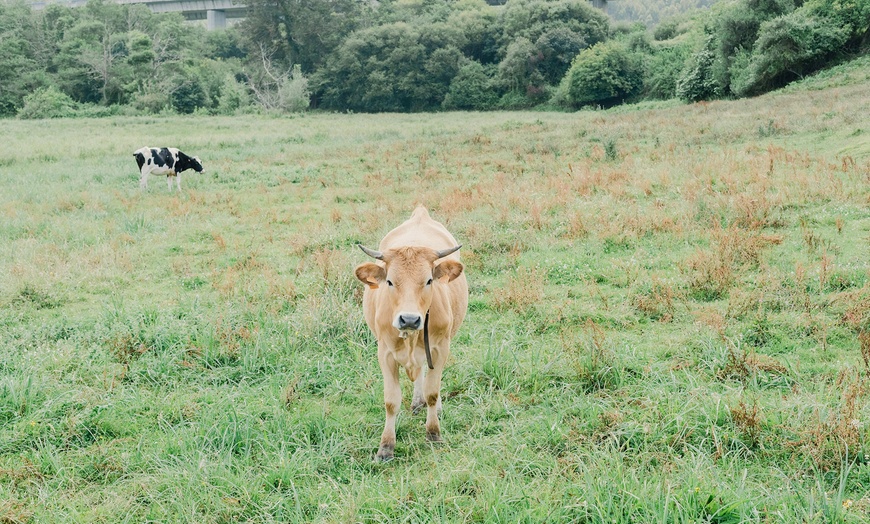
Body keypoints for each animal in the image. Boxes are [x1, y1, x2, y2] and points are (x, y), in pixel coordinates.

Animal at [354, 207, 470, 460]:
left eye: (429, 280)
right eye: (389, 281)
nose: (409, 319)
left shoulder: (440, 348)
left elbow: (433, 392)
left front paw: (433, 433)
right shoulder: (385, 354)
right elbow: (391, 401)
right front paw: (386, 446)